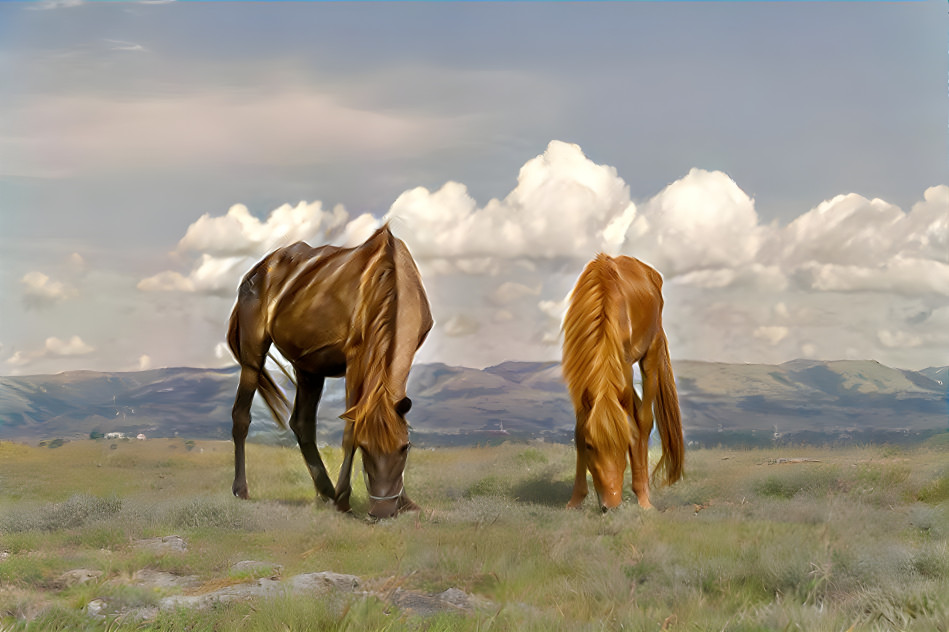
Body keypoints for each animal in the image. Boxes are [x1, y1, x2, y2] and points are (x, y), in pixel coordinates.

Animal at [228, 226, 436, 520]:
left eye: (405, 448)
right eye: (365, 448)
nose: (382, 510)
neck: (388, 282)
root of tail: (258, 269)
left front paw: (406, 502)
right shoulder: (355, 358)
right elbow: (350, 430)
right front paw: (343, 500)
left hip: (308, 368)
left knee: (301, 423)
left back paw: (325, 490)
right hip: (253, 354)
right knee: (241, 416)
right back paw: (241, 489)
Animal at [560, 254, 684, 512]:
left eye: (623, 446)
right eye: (590, 446)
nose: (611, 504)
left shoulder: (624, 368)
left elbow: (636, 429)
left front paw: (642, 496)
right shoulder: (581, 384)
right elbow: (579, 429)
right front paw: (576, 499)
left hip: (651, 354)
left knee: (644, 421)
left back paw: (644, 494)